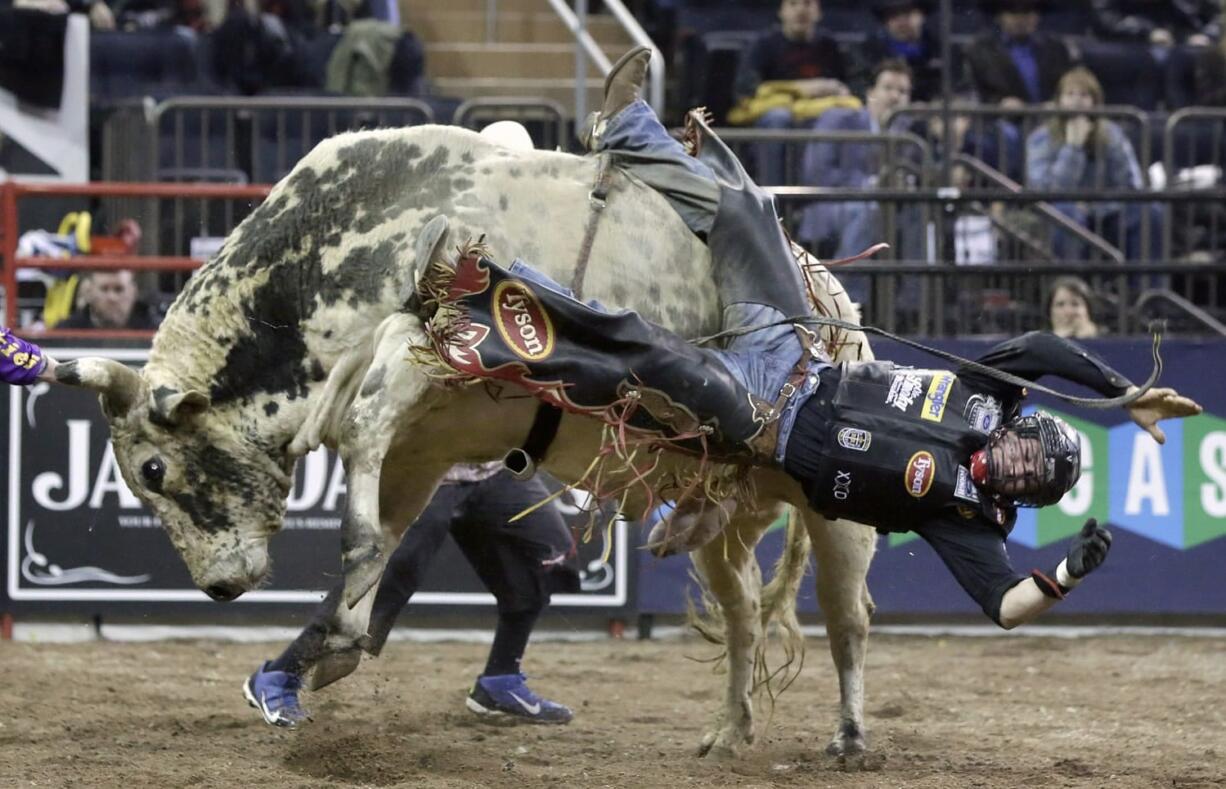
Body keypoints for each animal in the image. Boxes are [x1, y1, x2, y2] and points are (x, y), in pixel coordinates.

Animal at [55, 124, 882, 759]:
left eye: (154, 468)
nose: (219, 587)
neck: (317, 262)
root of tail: (836, 305)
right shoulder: (420, 443)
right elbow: (383, 531)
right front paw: (331, 647)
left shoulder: (414, 357)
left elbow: (364, 492)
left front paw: (336, 639)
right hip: (726, 512)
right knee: (742, 613)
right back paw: (728, 731)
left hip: (837, 509)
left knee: (846, 617)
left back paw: (847, 736)